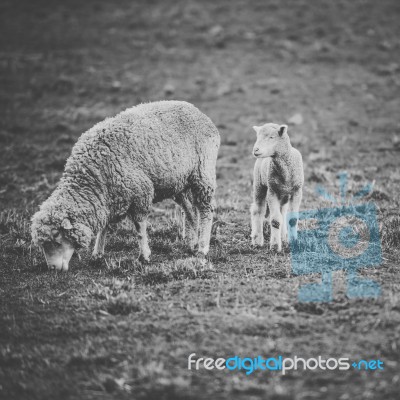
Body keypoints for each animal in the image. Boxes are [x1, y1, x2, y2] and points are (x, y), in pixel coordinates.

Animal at [30, 100, 219, 272]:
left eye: (56, 237)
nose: (52, 269)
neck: (93, 176)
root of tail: (196, 110)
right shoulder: (108, 198)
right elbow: (104, 227)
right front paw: (97, 254)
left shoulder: (140, 193)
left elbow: (139, 227)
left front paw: (144, 256)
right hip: (180, 183)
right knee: (190, 211)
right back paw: (192, 244)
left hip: (203, 173)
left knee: (206, 210)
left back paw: (202, 248)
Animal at [250, 123, 304, 252]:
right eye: (257, 137)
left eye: (271, 137)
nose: (256, 150)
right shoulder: (272, 191)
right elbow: (275, 220)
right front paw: (275, 246)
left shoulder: (297, 191)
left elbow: (292, 220)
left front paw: (293, 243)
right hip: (259, 185)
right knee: (257, 210)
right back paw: (257, 241)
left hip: (283, 195)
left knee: (282, 212)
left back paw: (284, 238)